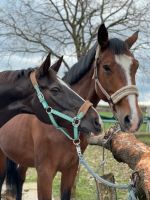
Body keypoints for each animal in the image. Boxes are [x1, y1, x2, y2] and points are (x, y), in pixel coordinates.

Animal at [0, 23, 142, 198]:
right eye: (106, 67)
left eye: (135, 66)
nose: (133, 119)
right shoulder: (45, 174)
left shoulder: (70, 170)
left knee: (20, 179)